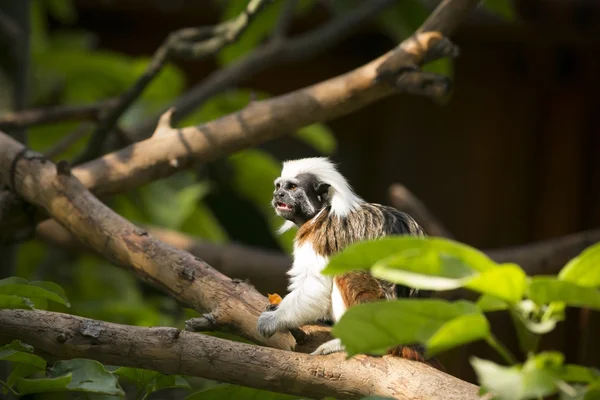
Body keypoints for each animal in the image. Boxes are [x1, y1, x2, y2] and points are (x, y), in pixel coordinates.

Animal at [254, 157, 440, 368]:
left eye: (292, 187)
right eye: (278, 186)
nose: (278, 194)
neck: (322, 211)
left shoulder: (320, 236)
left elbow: (315, 288)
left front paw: (273, 320)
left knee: (346, 274)